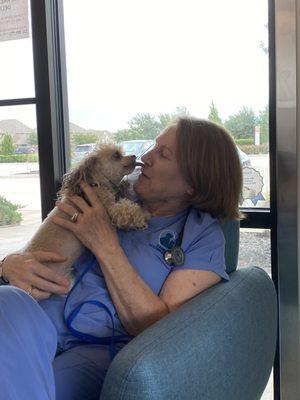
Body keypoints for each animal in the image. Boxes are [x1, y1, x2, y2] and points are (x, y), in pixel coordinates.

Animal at [23, 143, 151, 282]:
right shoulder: (110, 208)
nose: (134, 155)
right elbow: (128, 210)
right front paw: (144, 214)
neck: (97, 184)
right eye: (116, 155)